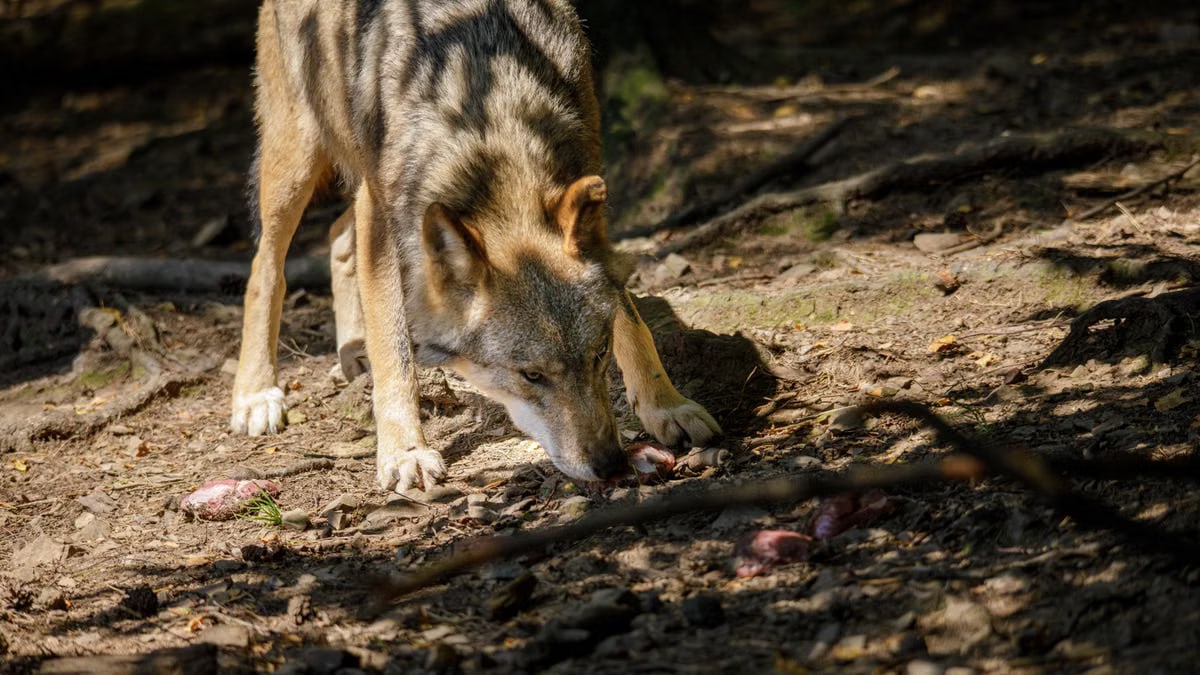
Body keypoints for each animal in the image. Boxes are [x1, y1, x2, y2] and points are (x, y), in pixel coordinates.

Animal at [229, 0, 721, 493]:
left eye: (599, 354)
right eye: (531, 376)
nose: (611, 464)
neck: (492, 115)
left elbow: (632, 321)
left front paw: (666, 404)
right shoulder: (384, 212)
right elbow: (394, 348)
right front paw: (405, 451)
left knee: (337, 236)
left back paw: (352, 350)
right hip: (297, 166)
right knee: (265, 268)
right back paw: (255, 394)